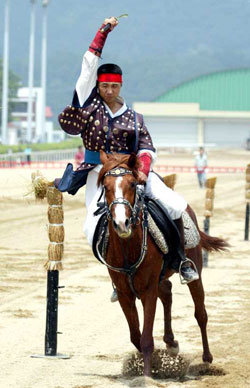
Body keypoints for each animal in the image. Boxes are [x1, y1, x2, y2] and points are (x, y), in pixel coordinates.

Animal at [96, 151, 228, 376]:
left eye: (133, 184)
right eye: (106, 186)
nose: (122, 223)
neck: (128, 247)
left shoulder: (148, 290)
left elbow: (146, 339)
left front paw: (148, 376)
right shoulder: (124, 294)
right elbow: (136, 336)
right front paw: (156, 363)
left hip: (195, 274)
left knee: (200, 313)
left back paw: (206, 359)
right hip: (160, 279)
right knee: (167, 292)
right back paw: (171, 342)